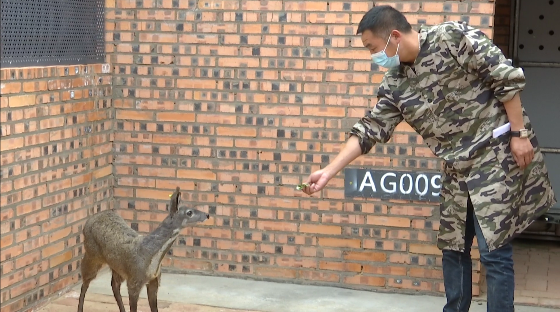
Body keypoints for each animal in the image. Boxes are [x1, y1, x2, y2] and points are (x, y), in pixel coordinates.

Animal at [77, 186, 210, 310]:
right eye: (189, 212)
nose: (207, 215)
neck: (149, 255)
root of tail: (89, 221)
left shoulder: (154, 280)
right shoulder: (134, 281)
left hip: (115, 266)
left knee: (114, 285)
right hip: (92, 255)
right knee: (85, 282)